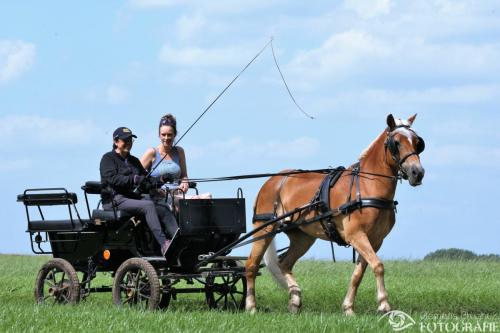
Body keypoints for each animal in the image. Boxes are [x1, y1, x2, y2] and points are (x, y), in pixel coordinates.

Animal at [246, 114, 426, 314]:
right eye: (396, 142)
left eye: (417, 142)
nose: (417, 172)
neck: (367, 186)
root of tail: (273, 180)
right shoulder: (356, 235)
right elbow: (378, 266)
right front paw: (384, 304)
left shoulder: (375, 240)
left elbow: (358, 274)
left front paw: (348, 308)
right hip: (265, 229)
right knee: (251, 265)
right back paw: (251, 306)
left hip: (302, 237)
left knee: (284, 263)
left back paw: (295, 300)